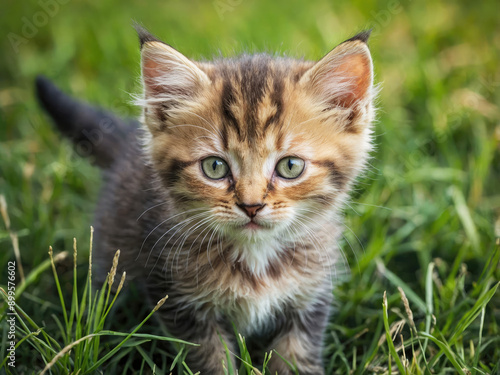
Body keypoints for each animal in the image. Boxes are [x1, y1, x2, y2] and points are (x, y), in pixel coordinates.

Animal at [36, 25, 376, 374]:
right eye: (215, 167)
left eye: (290, 166)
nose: (251, 205)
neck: (256, 256)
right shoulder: (176, 297)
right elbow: (210, 358)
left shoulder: (311, 297)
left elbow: (295, 357)